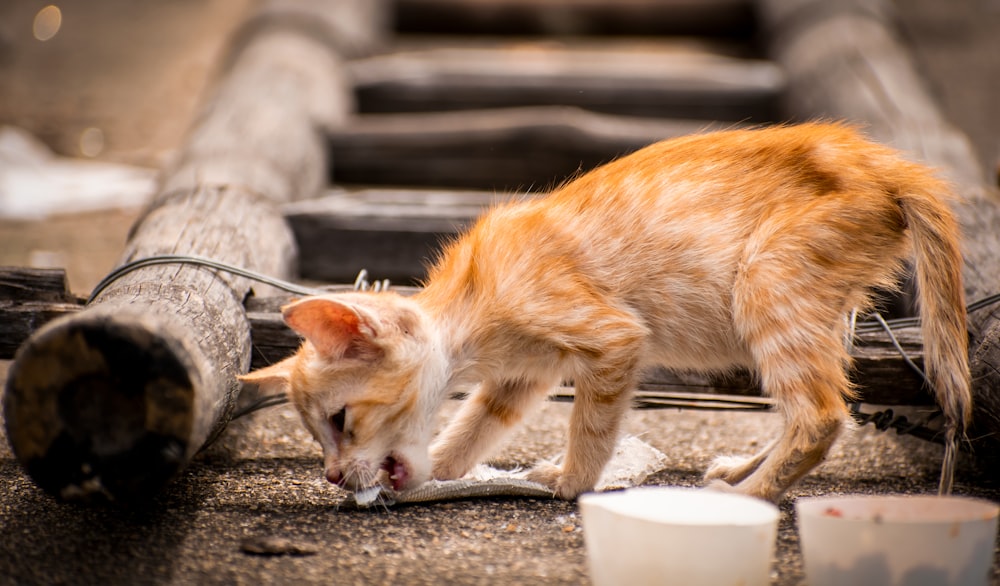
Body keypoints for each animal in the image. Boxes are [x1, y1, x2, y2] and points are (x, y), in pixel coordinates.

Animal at [240, 121, 968, 500]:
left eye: (341, 421)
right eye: (318, 436)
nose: (333, 475)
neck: (474, 307)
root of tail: (883, 162)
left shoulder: (614, 338)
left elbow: (591, 427)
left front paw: (569, 480)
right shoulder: (520, 377)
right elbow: (474, 426)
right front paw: (446, 470)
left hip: (767, 282)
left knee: (820, 415)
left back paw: (746, 498)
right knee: (811, 405)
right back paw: (746, 471)